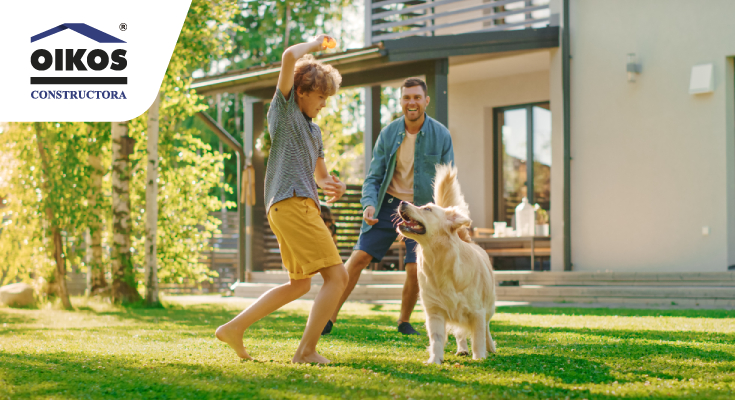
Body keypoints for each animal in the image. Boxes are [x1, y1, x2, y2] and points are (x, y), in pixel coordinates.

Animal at [400, 164, 498, 364]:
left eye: (427, 209)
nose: (402, 203)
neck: (439, 260)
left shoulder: (477, 311)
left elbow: (478, 337)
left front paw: (479, 358)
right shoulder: (435, 311)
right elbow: (437, 339)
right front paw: (435, 360)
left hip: (489, 306)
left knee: (486, 327)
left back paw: (490, 347)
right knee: (460, 333)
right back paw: (462, 349)